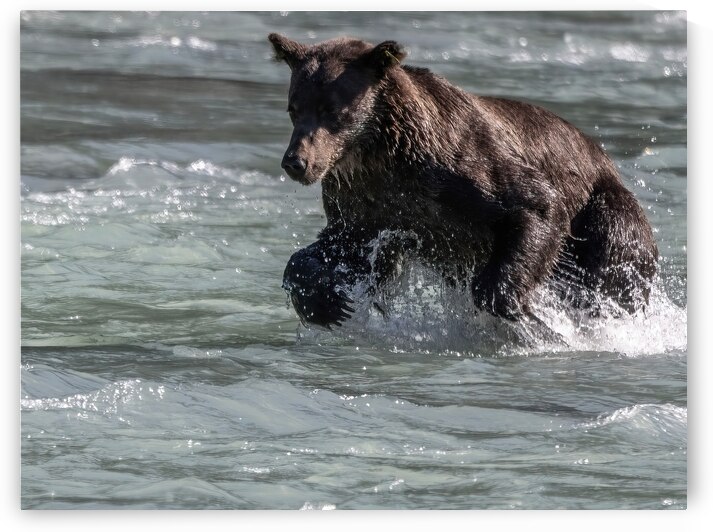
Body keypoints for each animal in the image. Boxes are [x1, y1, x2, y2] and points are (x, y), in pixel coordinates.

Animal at [268, 33, 658, 329]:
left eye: (332, 110)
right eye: (294, 108)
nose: (296, 162)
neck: (379, 155)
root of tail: (606, 157)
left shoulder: (462, 165)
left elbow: (535, 203)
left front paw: (510, 303)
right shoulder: (369, 205)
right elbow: (342, 247)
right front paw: (327, 303)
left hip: (605, 205)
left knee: (612, 253)